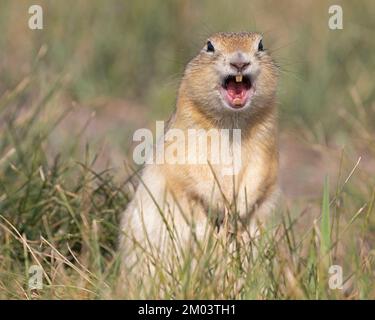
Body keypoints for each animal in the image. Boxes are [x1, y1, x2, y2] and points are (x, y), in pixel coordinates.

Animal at [119, 31, 280, 270]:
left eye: (260, 45)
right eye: (209, 46)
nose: (239, 62)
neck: (232, 122)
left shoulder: (266, 148)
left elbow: (259, 174)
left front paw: (239, 207)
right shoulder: (183, 145)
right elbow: (194, 171)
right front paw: (220, 205)